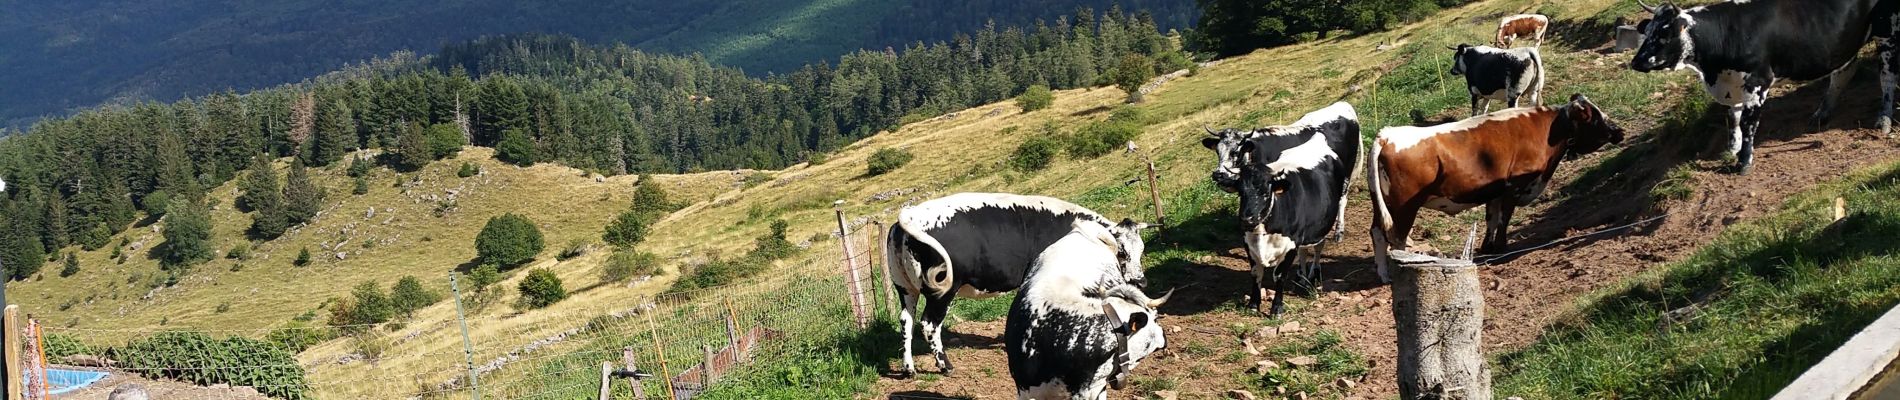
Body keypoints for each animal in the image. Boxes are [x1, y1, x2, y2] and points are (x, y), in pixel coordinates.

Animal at [881, 192, 1147, 377]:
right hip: (942, 291)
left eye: (1141, 249)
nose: (1140, 280)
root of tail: (912, 215)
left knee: (906, 322)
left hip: (905, 288)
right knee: (929, 325)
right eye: (1122, 252)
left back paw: (908, 368)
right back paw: (945, 366)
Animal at [1208, 101, 1360, 314]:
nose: (1219, 175)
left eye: (1236, 151)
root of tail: (1343, 105)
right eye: (1217, 150)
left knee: (1341, 204)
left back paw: (1338, 234)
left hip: (1347, 173)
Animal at [1360, 94, 1626, 274]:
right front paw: (1501, 247)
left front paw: (1487, 246)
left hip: (1384, 204)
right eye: (1594, 116)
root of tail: (1387, 135)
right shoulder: (1515, 185)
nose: (1619, 131)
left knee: (1377, 232)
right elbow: (1504, 218)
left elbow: (1492, 216)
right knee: (1396, 237)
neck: (1551, 130)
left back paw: (1383, 274)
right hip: (1405, 206)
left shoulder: (1496, 190)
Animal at [1626, 0, 1892, 172]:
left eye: (1665, 33)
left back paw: (1884, 119)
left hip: (1887, 31)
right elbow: (1732, 118)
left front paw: (1744, 161)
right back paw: (1822, 113)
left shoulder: (1757, 84)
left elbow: (1748, 123)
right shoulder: (1733, 85)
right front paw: (1732, 148)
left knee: (1887, 76)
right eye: (1647, 32)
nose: (1636, 62)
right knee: (1844, 73)